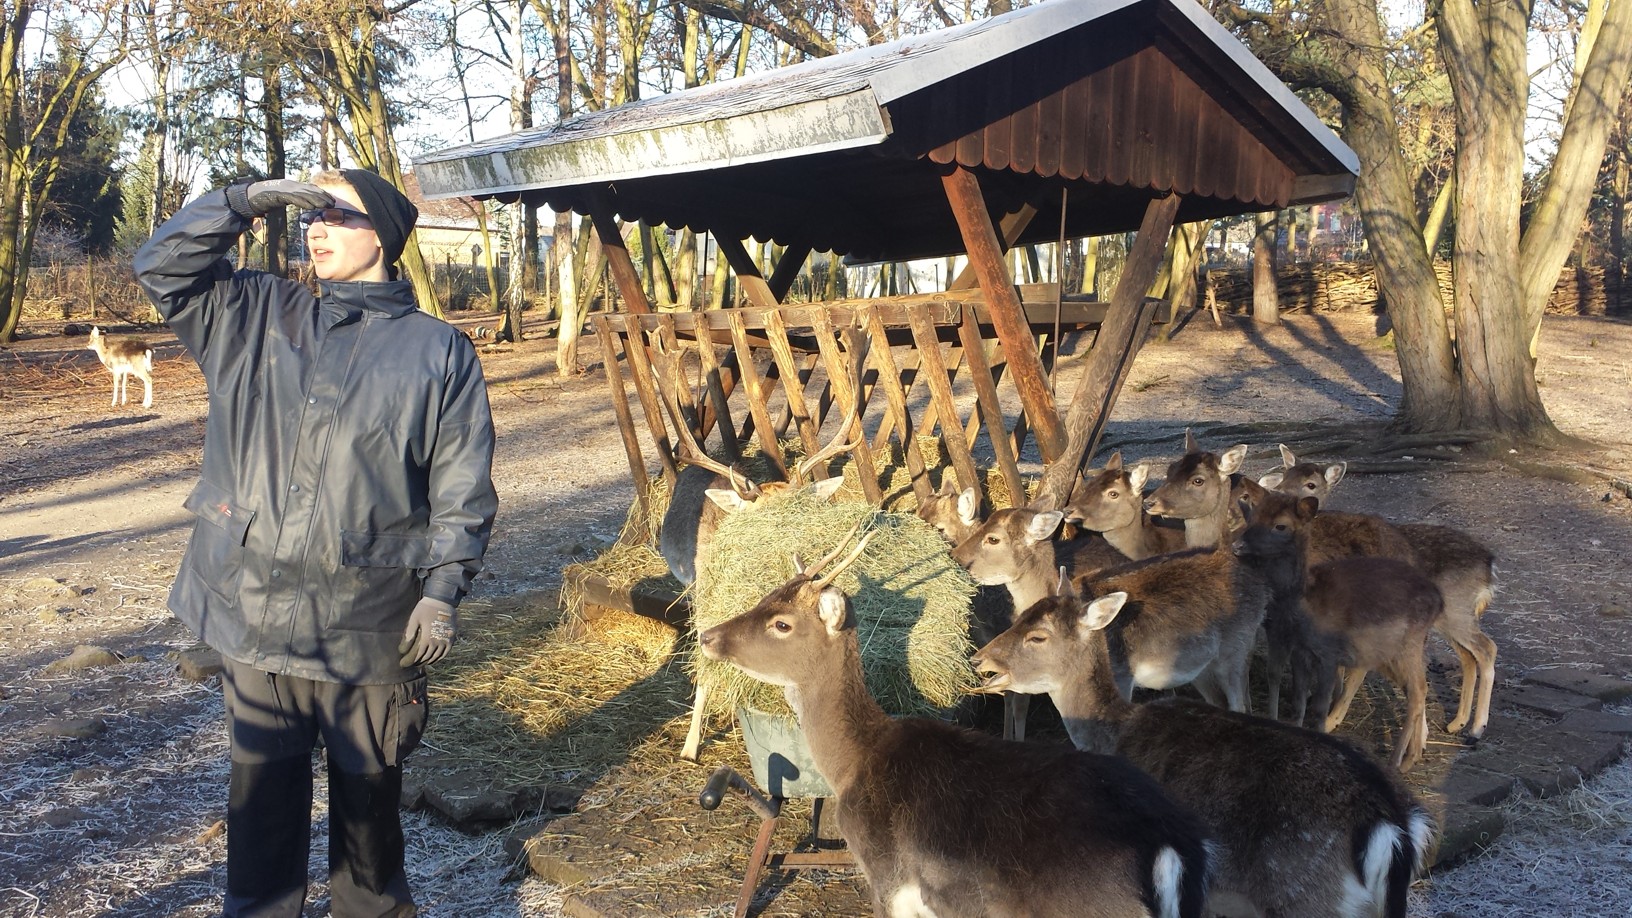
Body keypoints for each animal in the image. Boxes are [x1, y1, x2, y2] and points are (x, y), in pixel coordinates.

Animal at [695, 529, 1220, 914]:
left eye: (781, 623)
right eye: (765, 597)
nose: (708, 636)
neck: (852, 763)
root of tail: (1168, 844)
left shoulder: (889, 879)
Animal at [966, 571, 1429, 914]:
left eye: (1038, 636)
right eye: (1021, 615)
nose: (980, 659)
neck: (1114, 731)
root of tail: (1390, 824)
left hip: (1306, 896)